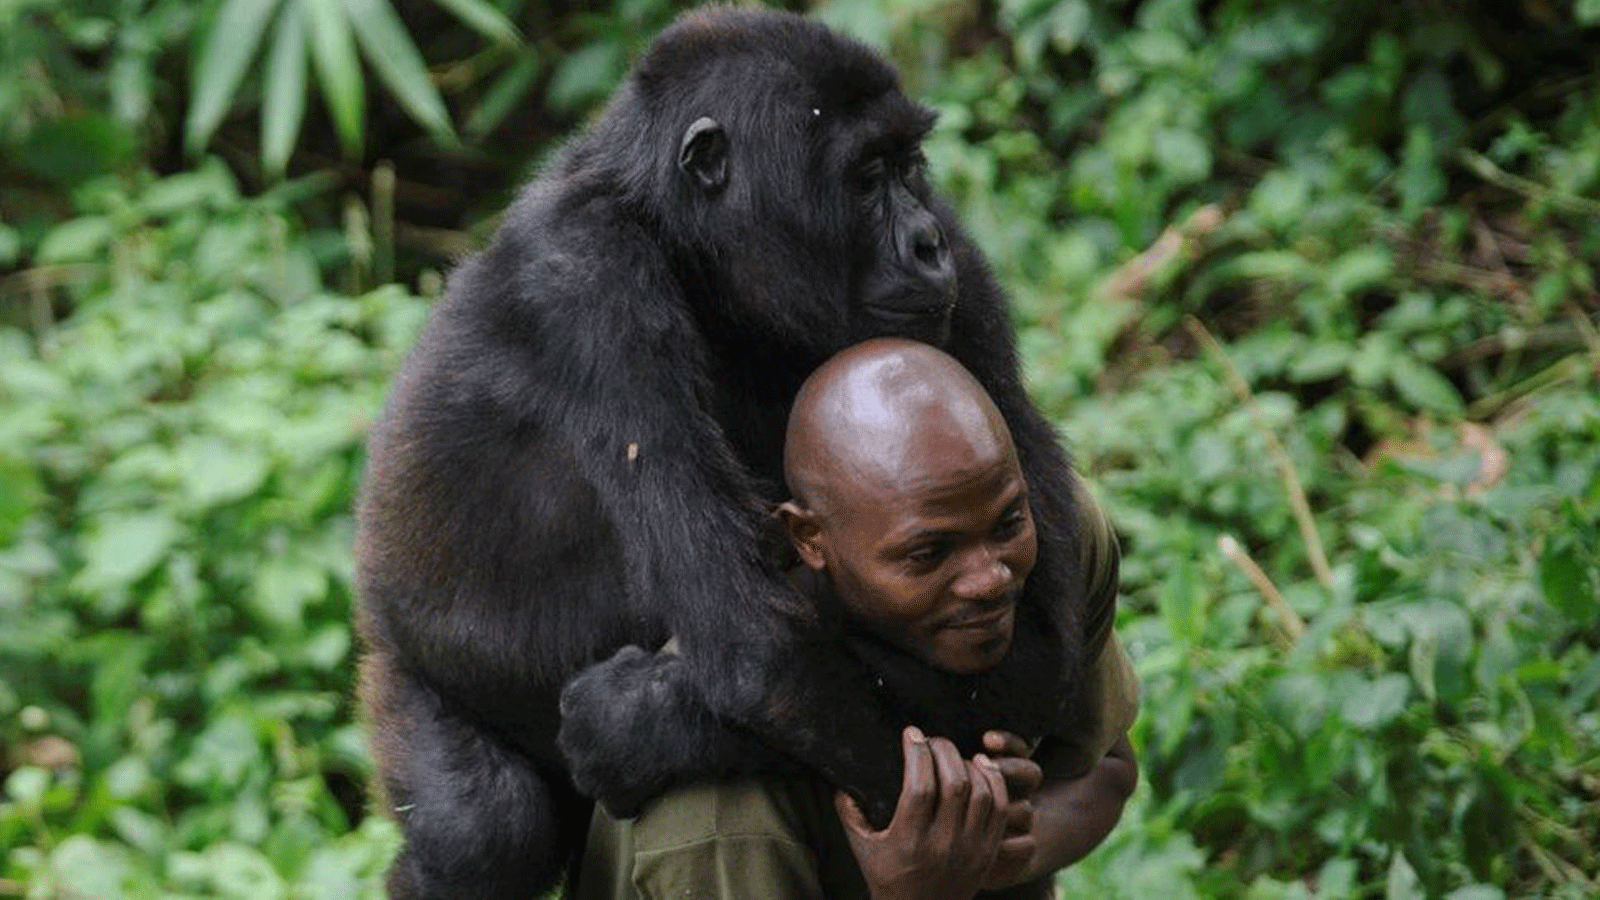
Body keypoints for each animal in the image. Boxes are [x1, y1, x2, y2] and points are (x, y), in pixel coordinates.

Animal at [356, 8, 1094, 896]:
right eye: (864, 175)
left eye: (909, 167)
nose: (925, 244)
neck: (682, 239)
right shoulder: (588, 280)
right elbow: (762, 655)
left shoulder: (966, 280)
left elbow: (1043, 641)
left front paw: (636, 723)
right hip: (399, 667)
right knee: (482, 828)